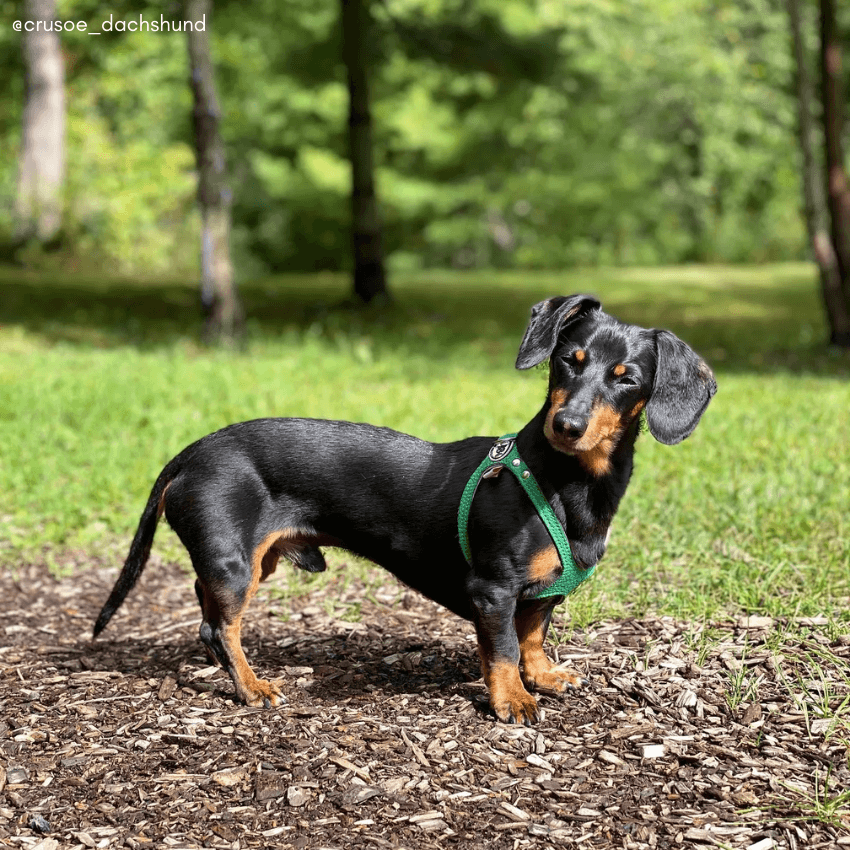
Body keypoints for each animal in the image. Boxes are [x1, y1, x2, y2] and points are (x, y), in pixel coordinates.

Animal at [94, 296, 716, 724]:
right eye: (567, 361)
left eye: (625, 379)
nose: (566, 425)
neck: (565, 483)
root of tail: (191, 452)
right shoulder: (493, 589)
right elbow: (503, 647)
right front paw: (512, 698)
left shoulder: (541, 593)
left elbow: (534, 634)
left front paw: (541, 677)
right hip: (233, 563)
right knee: (220, 626)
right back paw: (252, 687)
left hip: (246, 562)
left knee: (208, 614)